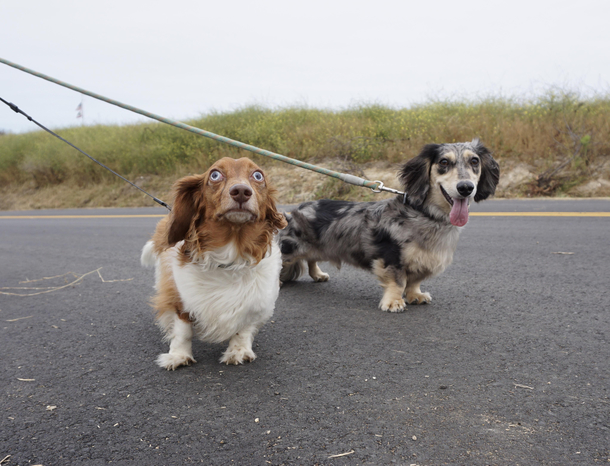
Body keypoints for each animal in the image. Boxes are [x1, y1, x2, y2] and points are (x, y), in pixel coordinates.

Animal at [141, 158, 286, 370]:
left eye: (258, 175)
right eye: (215, 174)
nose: (241, 191)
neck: (230, 255)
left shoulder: (256, 302)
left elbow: (243, 328)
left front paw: (238, 351)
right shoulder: (181, 297)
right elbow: (183, 330)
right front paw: (178, 355)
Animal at [280, 139, 498, 314]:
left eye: (474, 161)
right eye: (444, 162)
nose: (466, 188)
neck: (426, 215)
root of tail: (297, 208)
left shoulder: (422, 260)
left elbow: (414, 281)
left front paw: (415, 295)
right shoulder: (391, 256)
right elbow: (397, 282)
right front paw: (394, 302)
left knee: (311, 259)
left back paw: (318, 274)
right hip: (290, 248)